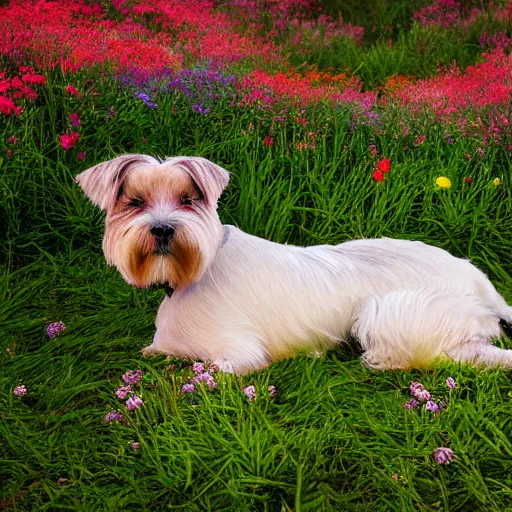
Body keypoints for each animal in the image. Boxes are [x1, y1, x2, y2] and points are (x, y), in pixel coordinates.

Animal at [75, 154, 512, 374]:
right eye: (135, 203)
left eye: (189, 199)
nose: (163, 229)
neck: (197, 268)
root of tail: (480, 280)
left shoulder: (240, 353)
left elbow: (217, 368)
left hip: (389, 315)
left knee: (473, 355)